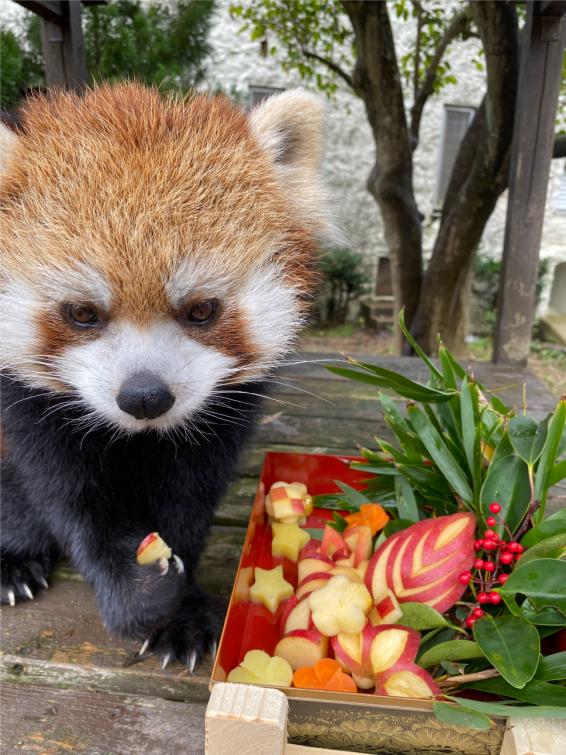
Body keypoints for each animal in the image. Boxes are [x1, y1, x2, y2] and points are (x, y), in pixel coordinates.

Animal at [0, 85, 330, 672]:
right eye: (82, 313)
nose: (145, 396)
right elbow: (70, 498)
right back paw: (14, 559)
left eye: (201, 310)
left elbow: (188, 497)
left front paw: (182, 612)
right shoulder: (27, 404)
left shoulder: (221, 413)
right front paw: (140, 596)